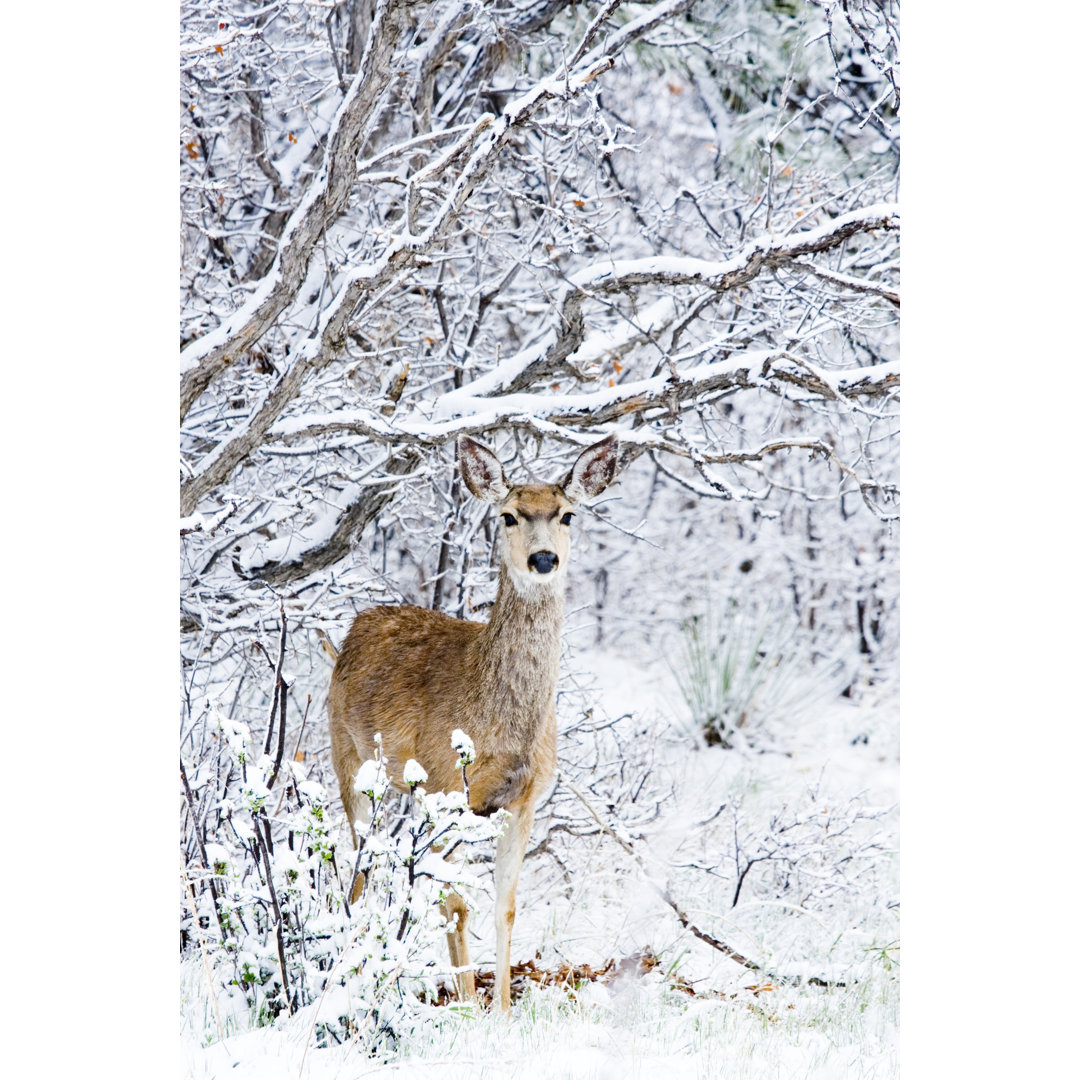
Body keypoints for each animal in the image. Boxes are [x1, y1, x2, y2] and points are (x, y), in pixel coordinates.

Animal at [324, 429, 622, 1010]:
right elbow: (456, 904)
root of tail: (356, 625)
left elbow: (505, 908)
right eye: (508, 516)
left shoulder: (522, 801)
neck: (499, 723)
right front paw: (465, 1008)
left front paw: (502, 1011)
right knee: (362, 865)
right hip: (346, 755)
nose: (544, 558)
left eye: (568, 514)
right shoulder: (447, 783)